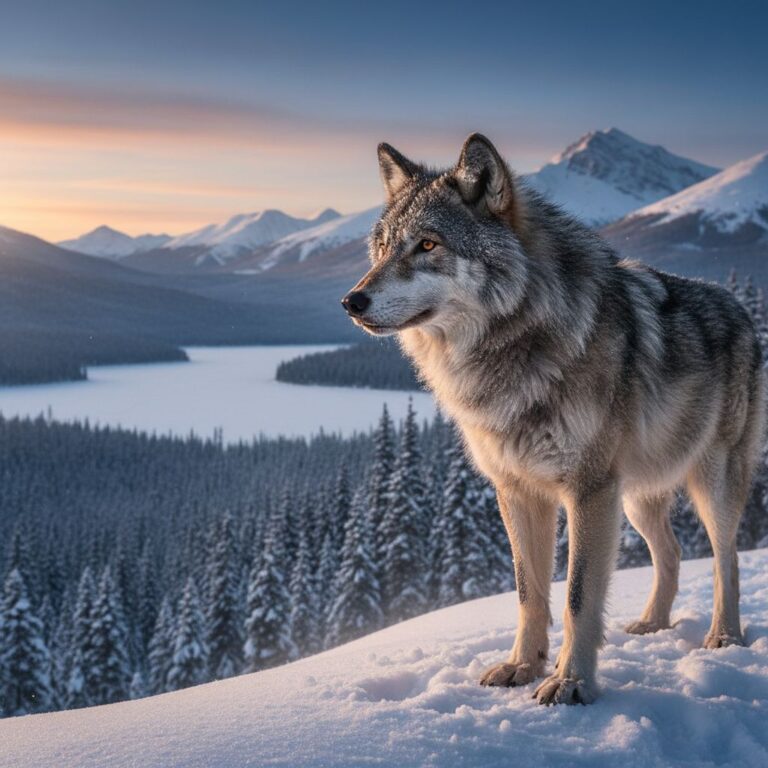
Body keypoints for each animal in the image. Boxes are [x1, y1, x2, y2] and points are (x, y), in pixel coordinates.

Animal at [341, 133, 766, 705]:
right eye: (383, 247)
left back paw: (724, 635)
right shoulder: (518, 491)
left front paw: (571, 682)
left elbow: (579, 595)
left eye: (427, 246)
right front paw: (522, 665)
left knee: (727, 558)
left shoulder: (588, 490)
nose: (351, 301)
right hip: (635, 498)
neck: (517, 347)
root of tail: (739, 304)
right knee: (672, 552)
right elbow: (530, 592)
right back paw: (652, 624)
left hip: (708, 485)